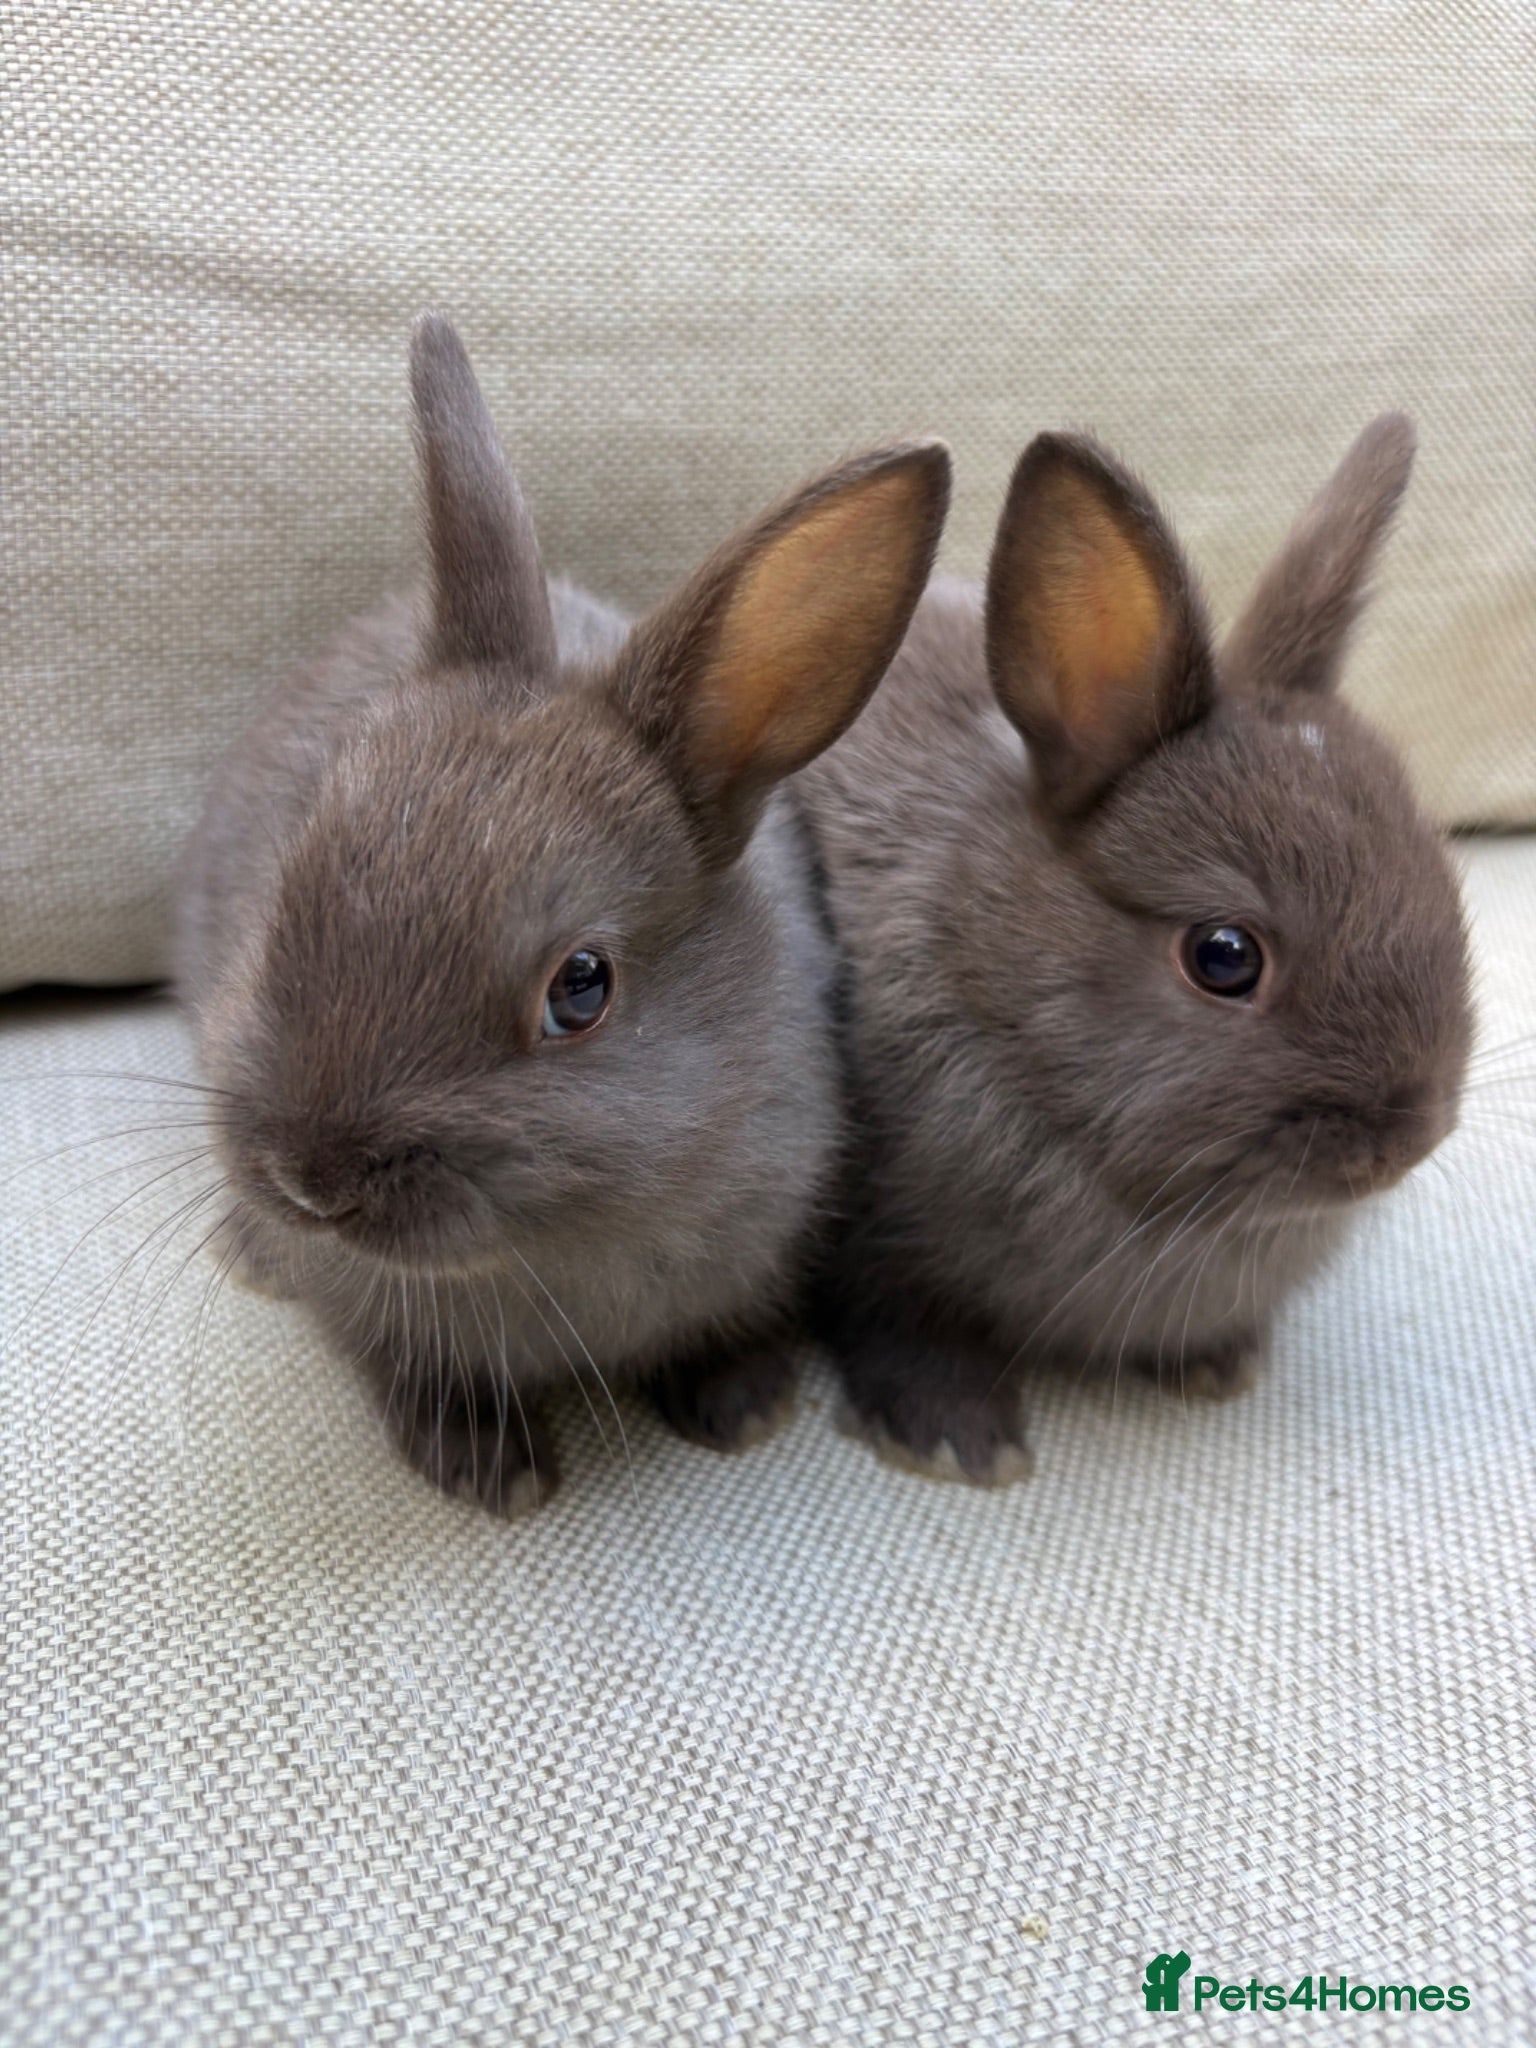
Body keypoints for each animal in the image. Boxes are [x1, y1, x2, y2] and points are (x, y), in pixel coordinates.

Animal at [796, 415, 1472, 1485]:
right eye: (1225, 956)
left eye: (1441, 882)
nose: (1407, 1141)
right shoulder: (879, 1248)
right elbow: (905, 1323)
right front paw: (961, 1445)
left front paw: (1217, 1366)